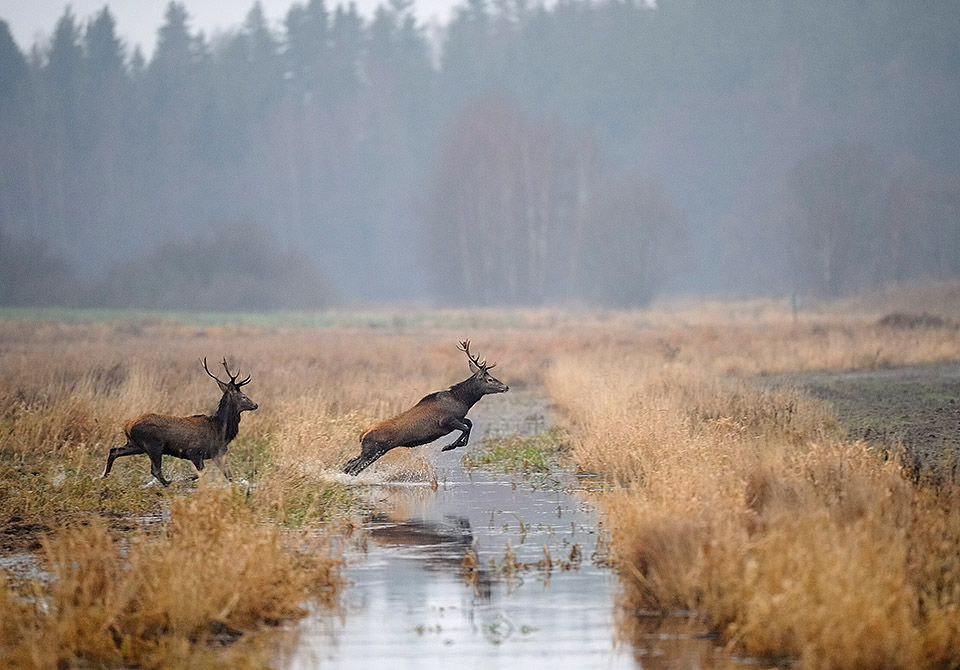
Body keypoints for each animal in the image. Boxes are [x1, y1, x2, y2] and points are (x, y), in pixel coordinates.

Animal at [100, 356, 255, 488]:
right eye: (243, 396)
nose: (255, 405)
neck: (221, 429)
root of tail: (127, 426)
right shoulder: (194, 451)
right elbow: (201, 473)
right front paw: (184, 480)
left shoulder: (218, 453)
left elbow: (229, 475)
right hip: (153, 444)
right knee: (155, 470)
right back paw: (170, 483)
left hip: (135, 444)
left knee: (114, 450)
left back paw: (104, 476)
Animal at [344, 342, 510, 478]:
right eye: (489, 379)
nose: (506, 387)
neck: (463, 400)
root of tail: (362, 434)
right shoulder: (446, 420)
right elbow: (465, 427)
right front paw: (448, 446)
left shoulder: (459, 417)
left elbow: (469, 423)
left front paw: (454, 445)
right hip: (373, 451)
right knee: (353, 469)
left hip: (369, 451)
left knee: (348, 463)